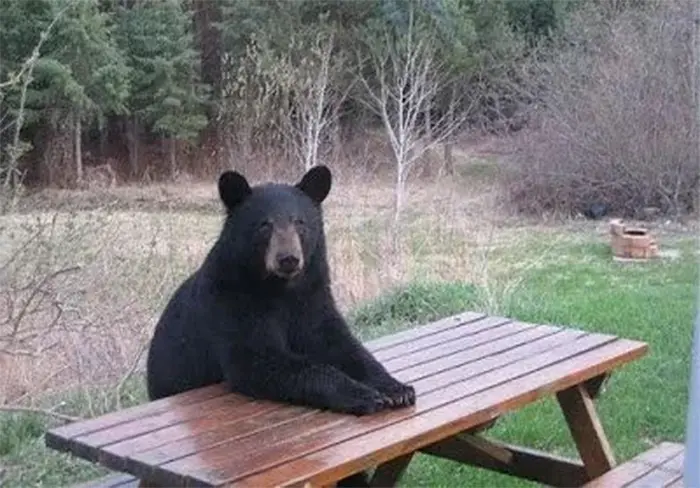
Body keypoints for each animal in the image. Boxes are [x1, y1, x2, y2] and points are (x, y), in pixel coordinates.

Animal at [144, 165, 412, 420]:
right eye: (265, 225)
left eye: (299, 222)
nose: (288, 259)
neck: (281, 289)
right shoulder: (231, 302)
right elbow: (260, 359)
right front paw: (364, 394)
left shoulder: (313, 298)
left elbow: (340, 344)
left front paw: (396, 388)